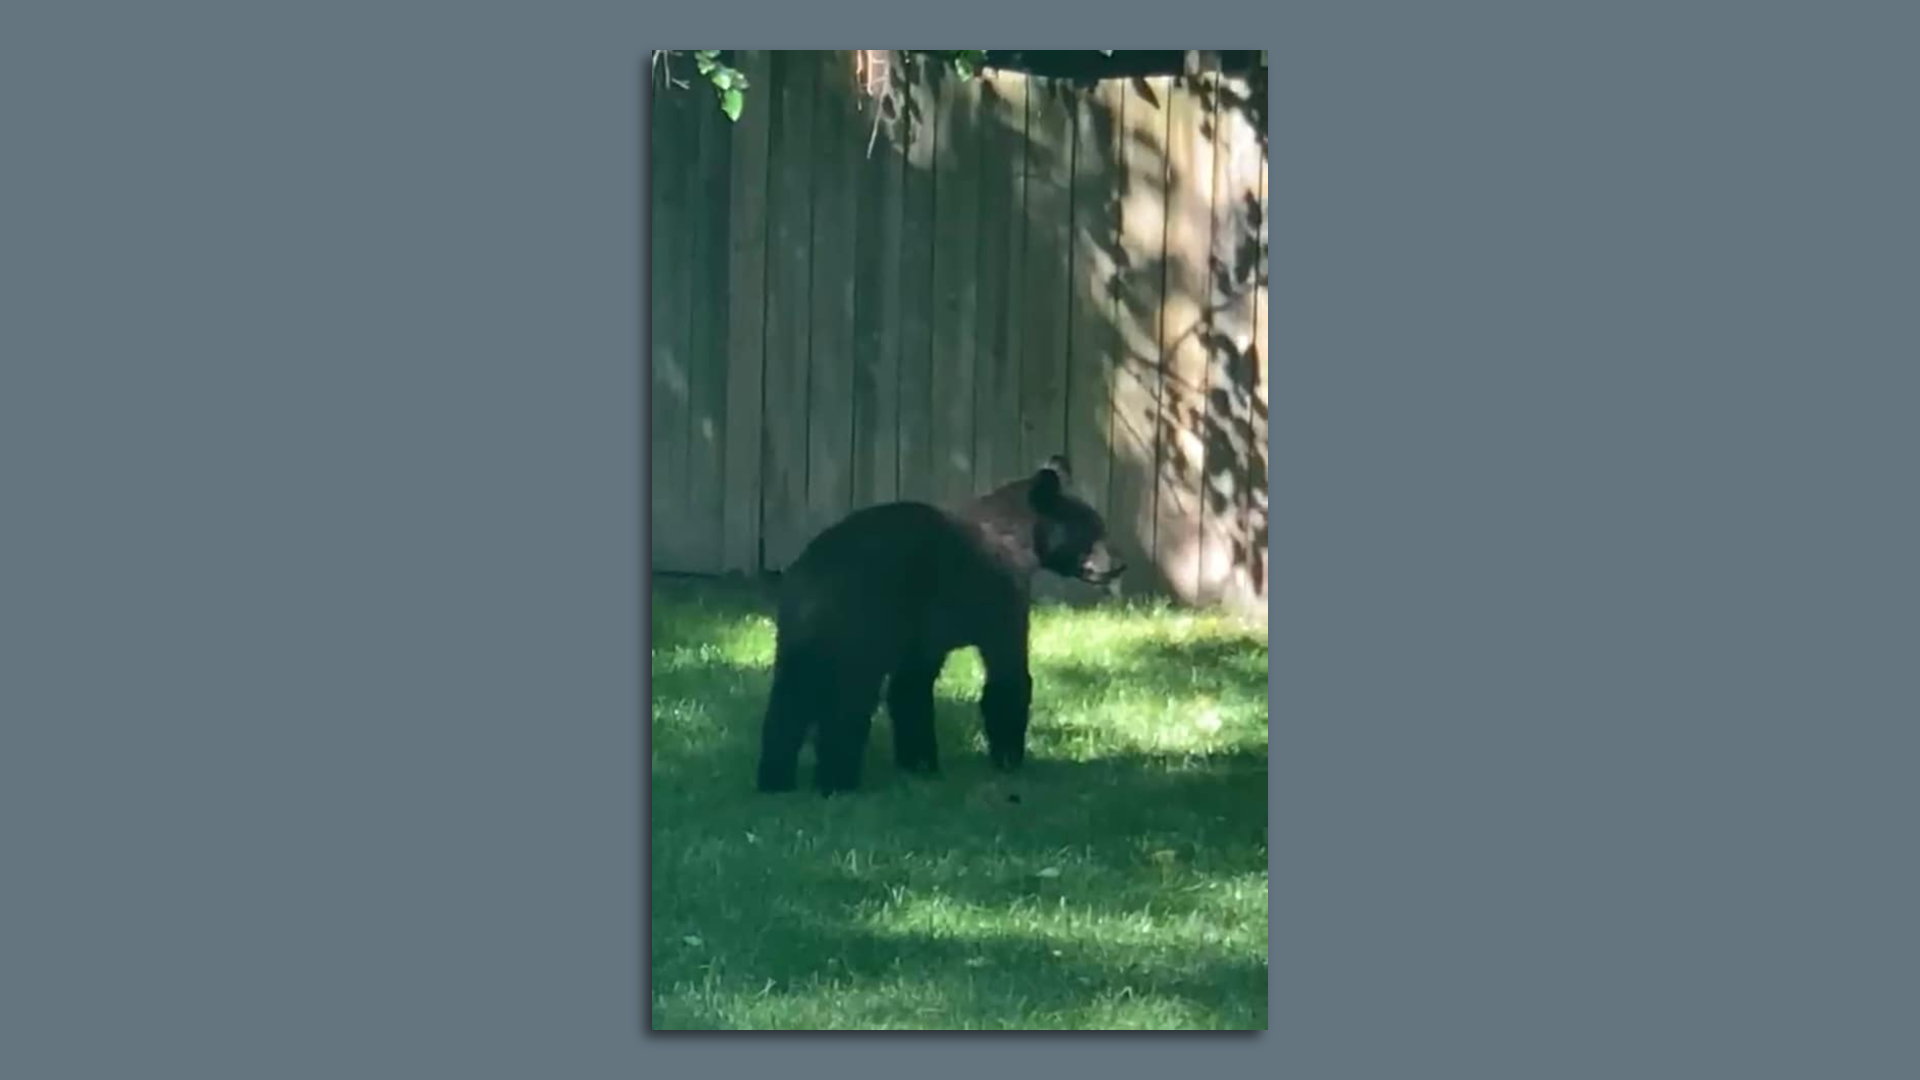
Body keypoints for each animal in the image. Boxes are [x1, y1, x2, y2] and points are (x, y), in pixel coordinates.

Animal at [755, 455, 1125, 795]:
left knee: (789, 698)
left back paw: (775, 779)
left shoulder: (922, 631)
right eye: (1093, 529)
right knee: (848, 698)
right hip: (864, 621)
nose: (1119, 564)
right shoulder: (1002, 597)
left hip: (798, 631)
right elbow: (1007, 673)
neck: (1021, 537)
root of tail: (815, 573)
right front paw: (1009, 758)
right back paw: (837, 780)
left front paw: (919, 763)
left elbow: (911, 687)